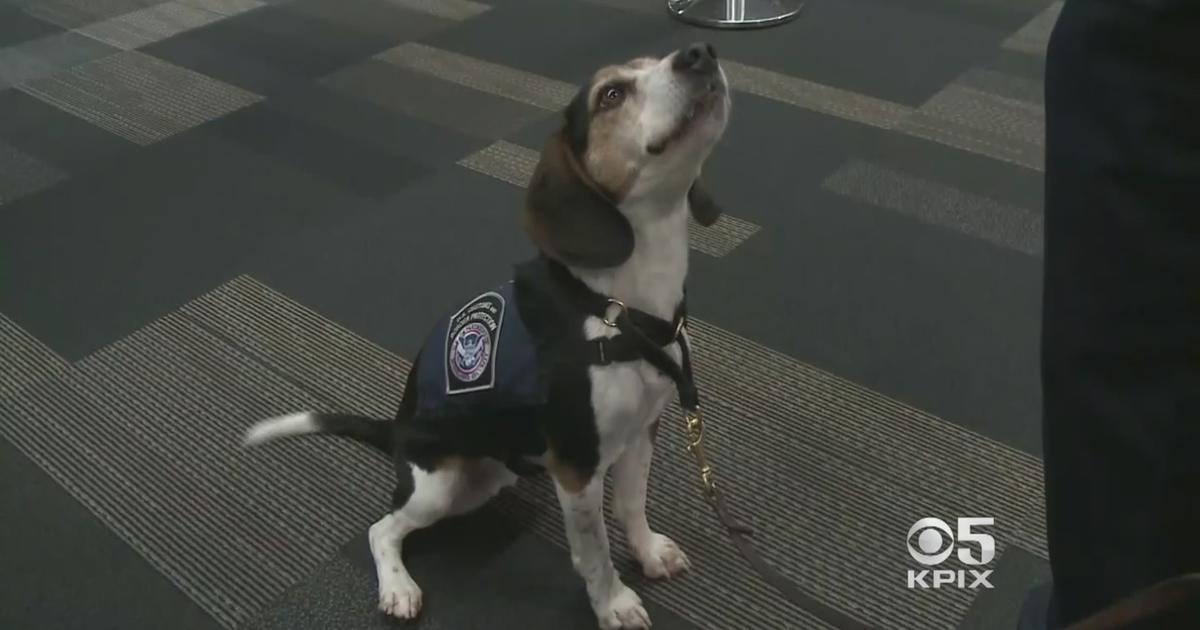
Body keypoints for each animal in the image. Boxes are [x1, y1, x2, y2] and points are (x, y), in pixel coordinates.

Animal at [243, 41, 729, 624]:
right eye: (611, 94)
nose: (700, 53)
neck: (620, 307)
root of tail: (398, 429)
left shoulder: (641, 430)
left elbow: (631, 505)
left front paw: (649, 552)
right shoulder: (576, 466)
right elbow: (594, 551)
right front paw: (613, 603)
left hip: (491, 476)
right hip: (441, 487)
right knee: (383, 528)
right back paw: (398, 587)